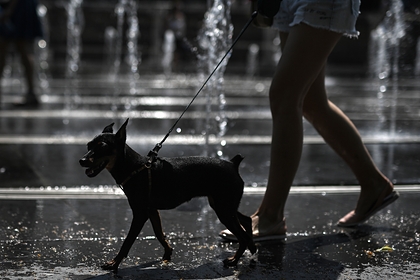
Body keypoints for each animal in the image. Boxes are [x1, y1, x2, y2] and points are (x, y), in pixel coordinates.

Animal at [79, 118, 256, 272]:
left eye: (102, 147)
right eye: (88, 145)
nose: (82, 161)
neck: (135, 167)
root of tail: (233, 164)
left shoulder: (140, 213)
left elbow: (128, 241)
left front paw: (114, 263)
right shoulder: (152, 210)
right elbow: (159, 233)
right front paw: (168, 253)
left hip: (223, 208)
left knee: (242, 236)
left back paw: (234, 260)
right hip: (223, 205)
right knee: (246, 221)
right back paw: (252, 248)